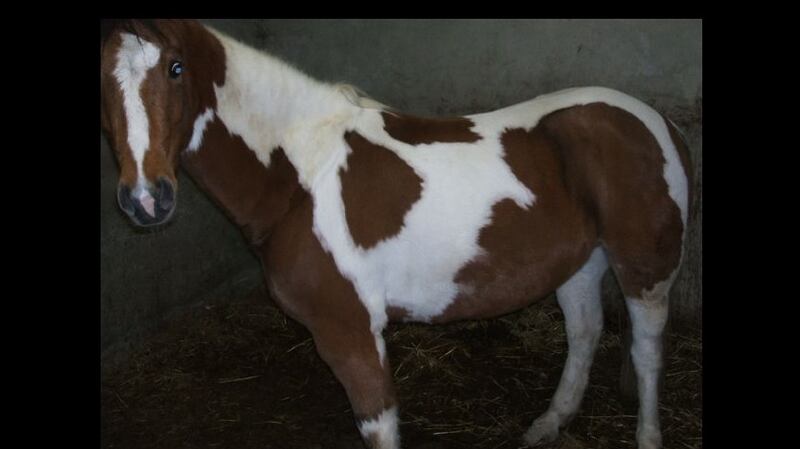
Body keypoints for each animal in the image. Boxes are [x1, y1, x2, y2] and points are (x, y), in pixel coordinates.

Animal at [100, 19, 693, 449]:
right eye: (100, 80)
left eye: (176, 68)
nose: (147, 199)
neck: (300, 175)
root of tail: (658, 122)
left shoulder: (351, 334)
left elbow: (379, 426)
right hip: (580, 262)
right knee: (585, 332)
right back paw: (548, 424)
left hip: (645, 269)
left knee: (646, 351)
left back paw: (647, 436)